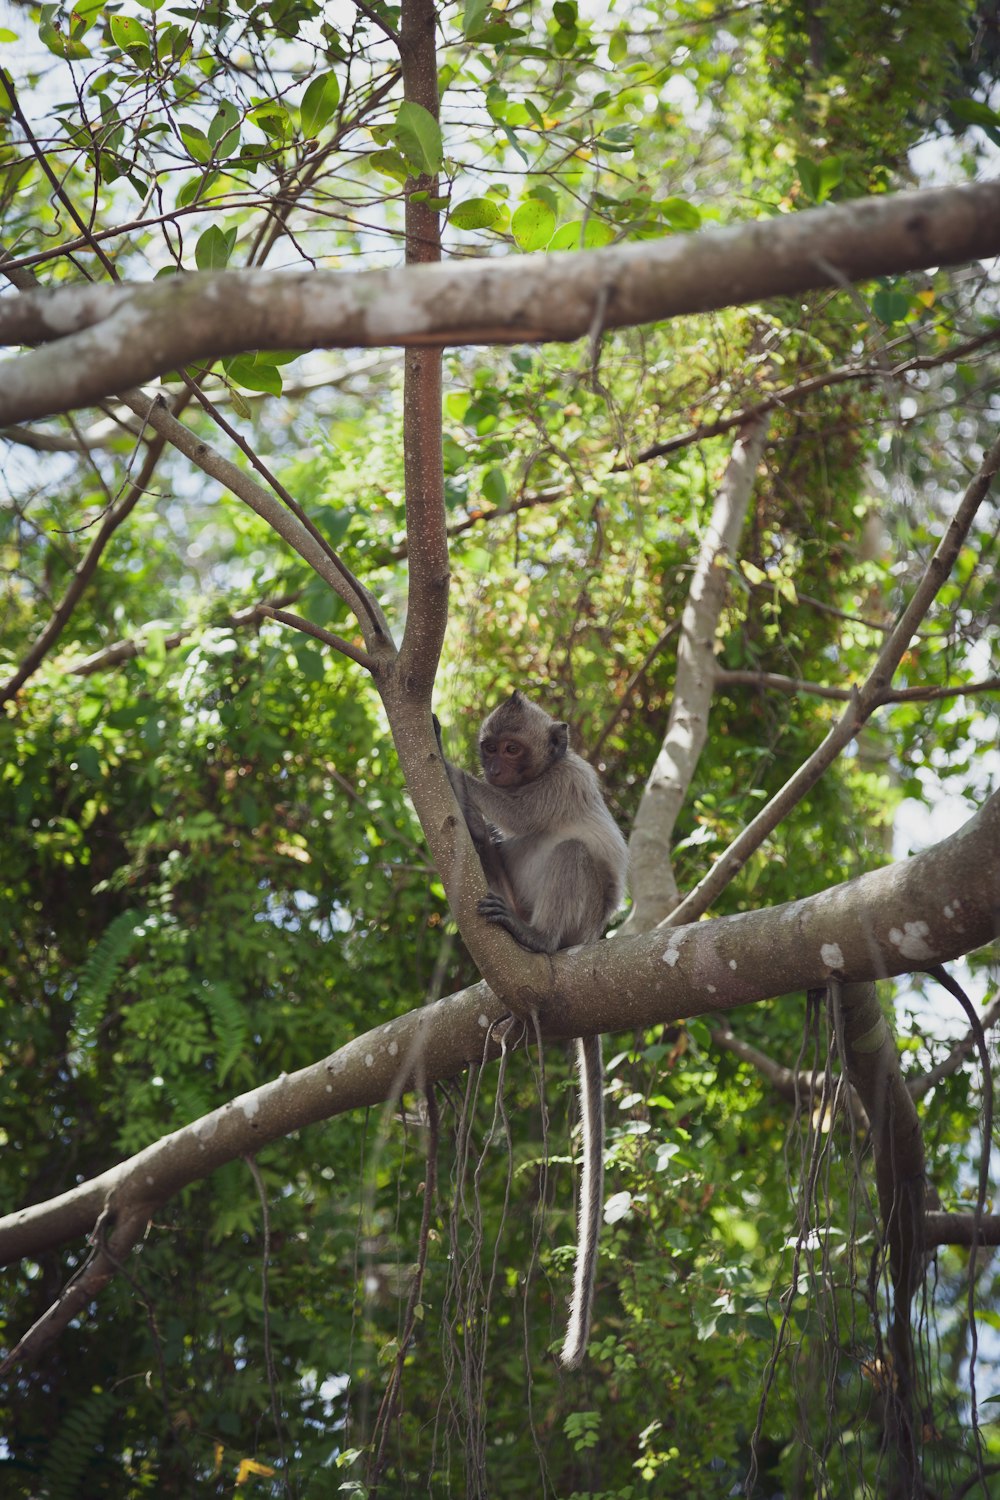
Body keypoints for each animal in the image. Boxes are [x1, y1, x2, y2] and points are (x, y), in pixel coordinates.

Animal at [434, 690, 629, 1374]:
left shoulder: (559, 784)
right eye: (492, 746)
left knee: (572, 855)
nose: (493, 766)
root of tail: (588, 939)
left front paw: (435, 745)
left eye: (512, 749)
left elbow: (517, 811)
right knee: (498, 855)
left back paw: (536, 939)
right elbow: (494, 824)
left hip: (577, 917)